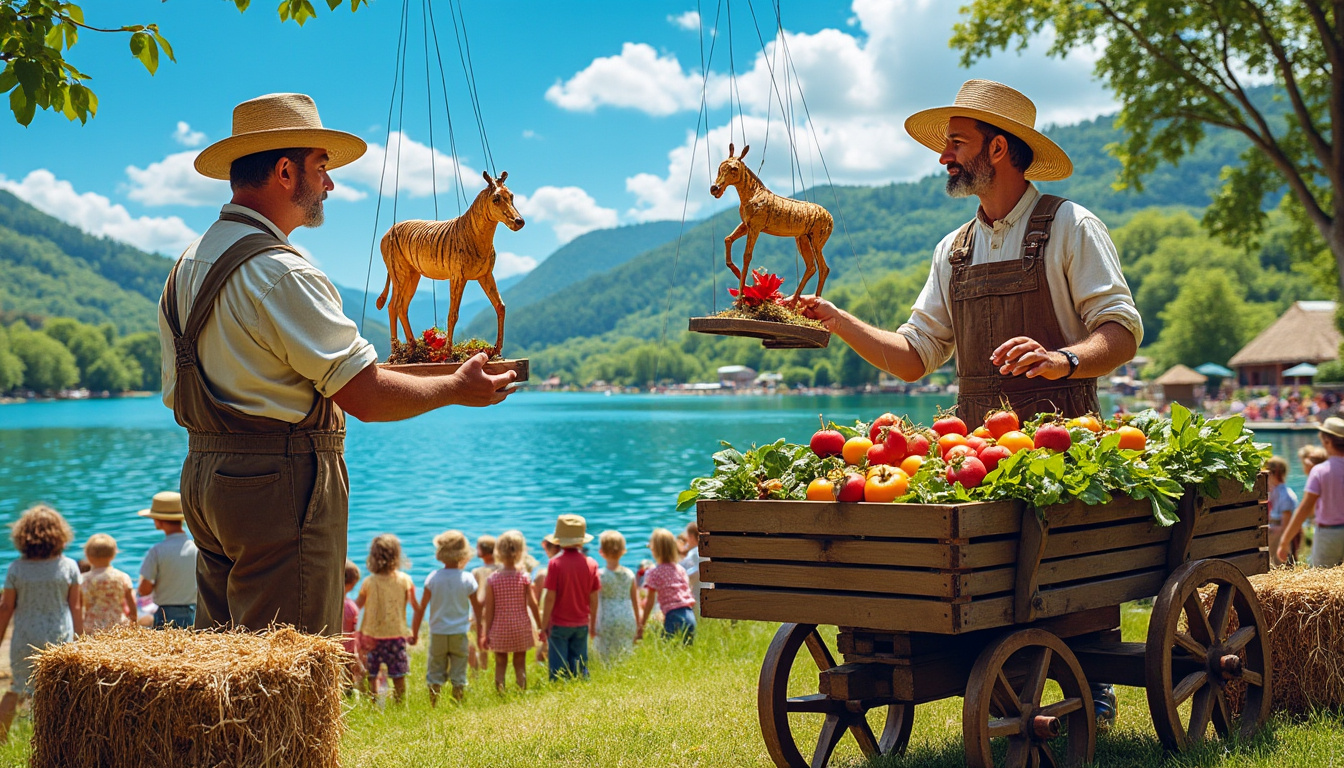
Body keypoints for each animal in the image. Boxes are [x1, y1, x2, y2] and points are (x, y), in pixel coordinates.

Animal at [381, 171, 526, 355]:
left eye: (512, 197)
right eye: (496, 199)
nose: (519, 222)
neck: (474, 234)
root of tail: (387, 233)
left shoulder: (485, 275)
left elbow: (500, 306)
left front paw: (496, 349)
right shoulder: (458, 277)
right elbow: (453, 314)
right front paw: (448, 352)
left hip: (412, 276)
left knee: (399, 307)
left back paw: (410, 348)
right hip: (400, 274)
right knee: (394, 306)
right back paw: (398, 352)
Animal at [709, 143, 833, 303]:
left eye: (734, 169)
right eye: (720, 166)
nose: (715, 189)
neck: (752, 194)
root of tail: (831, 218)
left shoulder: (756, 227)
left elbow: (747, 256)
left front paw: (741, 299)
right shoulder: (746, 225)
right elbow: (728, 239)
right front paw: (737, 273)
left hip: (817, 240)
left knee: (823, 268)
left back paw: (814, 300)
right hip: (803, 238)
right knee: (811, 266)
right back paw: (794, 302)